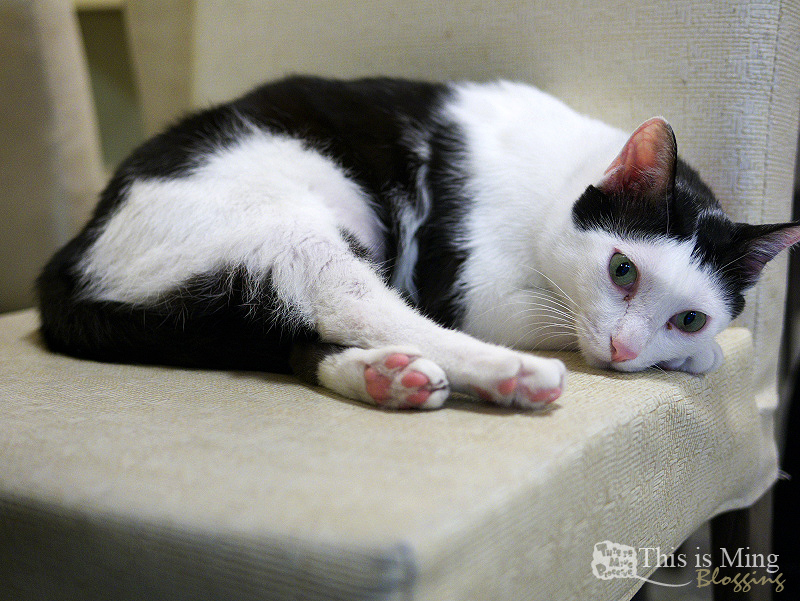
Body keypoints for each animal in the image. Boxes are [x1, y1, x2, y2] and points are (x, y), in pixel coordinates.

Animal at [37, 76, 800, 410]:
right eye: (622, 270)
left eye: (689, 315)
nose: (624, 350)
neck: (561, 173)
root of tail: (68, 260)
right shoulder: (472, 290)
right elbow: (545, 318)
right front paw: (695, 358)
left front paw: (690, 352)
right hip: (287, 220)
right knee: (355, 306)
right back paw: (508, 374)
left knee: (289, 334)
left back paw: (387, 377)